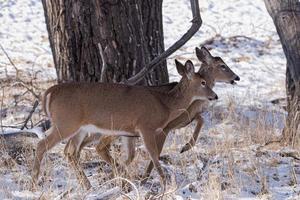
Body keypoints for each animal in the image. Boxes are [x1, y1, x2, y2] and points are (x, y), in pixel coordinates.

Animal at [32, 58, 218, 191]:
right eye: (203, 82)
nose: (215, 96)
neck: (165, 104)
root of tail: (49, 93)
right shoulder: (146, 126)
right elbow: (154, 155)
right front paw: (164, 184)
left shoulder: (129, 132)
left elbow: (131, 156)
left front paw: (124, 179)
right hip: (65, 123)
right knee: (42, 145)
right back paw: (34, 183)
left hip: (79, 128)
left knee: (69, 152)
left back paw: (87, 185)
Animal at [64, 46, 240, 185]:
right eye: (223, 66)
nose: (236, 77)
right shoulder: (163, 128)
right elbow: (156, 153)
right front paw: (148, 177)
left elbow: (200, 119)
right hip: (109, 128)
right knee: (88, 147)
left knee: (75, 148)